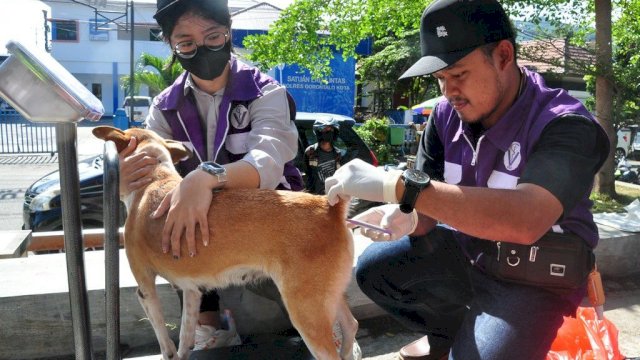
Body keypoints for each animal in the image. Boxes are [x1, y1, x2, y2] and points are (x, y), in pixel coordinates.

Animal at [92, 126, 358, 360]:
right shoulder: (192, 291)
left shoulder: (145, 288)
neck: (154, 178)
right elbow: (185, 336)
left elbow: (165, 341)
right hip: (329, 296)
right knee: (351, 325)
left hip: (306, 311)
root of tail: (329, 208)